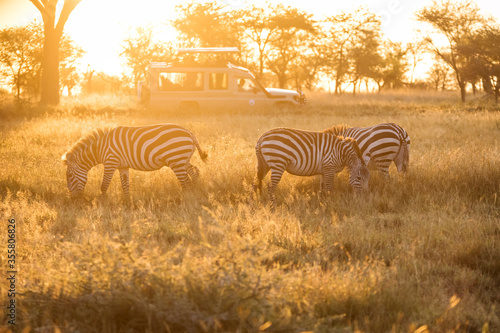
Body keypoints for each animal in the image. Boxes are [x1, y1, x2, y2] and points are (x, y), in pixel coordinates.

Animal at [62, 123, 207, 198]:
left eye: (69, 175)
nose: (72, 198)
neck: (99, 148)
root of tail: (189, 133)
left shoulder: (110, 162)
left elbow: (104, 185)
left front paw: (102, 202)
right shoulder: (122, 166)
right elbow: (125, 184)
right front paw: (127, 202)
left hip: (176, 160)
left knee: (186, 181)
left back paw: (186, 198)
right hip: (183, 160)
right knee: (194, 172)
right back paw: (195, 193)